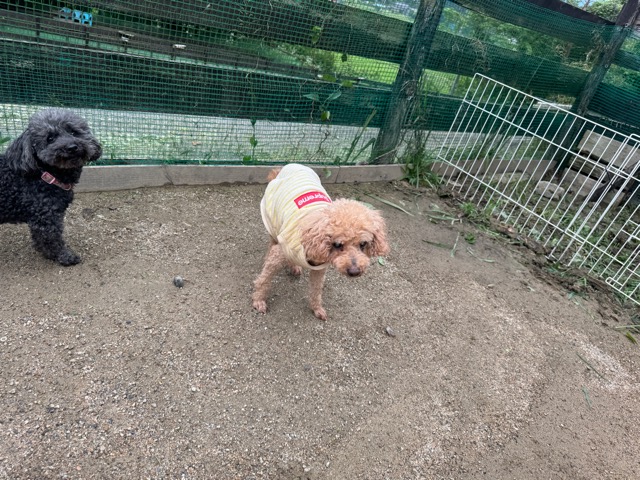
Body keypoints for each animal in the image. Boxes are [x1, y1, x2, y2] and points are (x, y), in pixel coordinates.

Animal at [0, 109, 102, 265]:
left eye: (73, 132)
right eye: (50, 138)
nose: (72, 147)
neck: (44, 175)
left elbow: (39, 237)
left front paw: (42, 251)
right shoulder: (47, 217)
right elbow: (52, 240)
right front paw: (64, 257)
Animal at [252, 163, 390, 321]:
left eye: (363, 244)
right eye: (338, 244)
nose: (354, 271)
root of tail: (289, 166)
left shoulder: (319, 269)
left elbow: (316, 289)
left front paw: (317, 308)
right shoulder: (281, 251)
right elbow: (264, 279)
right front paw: (259, 300)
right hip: (272, 220)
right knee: (272, 243)